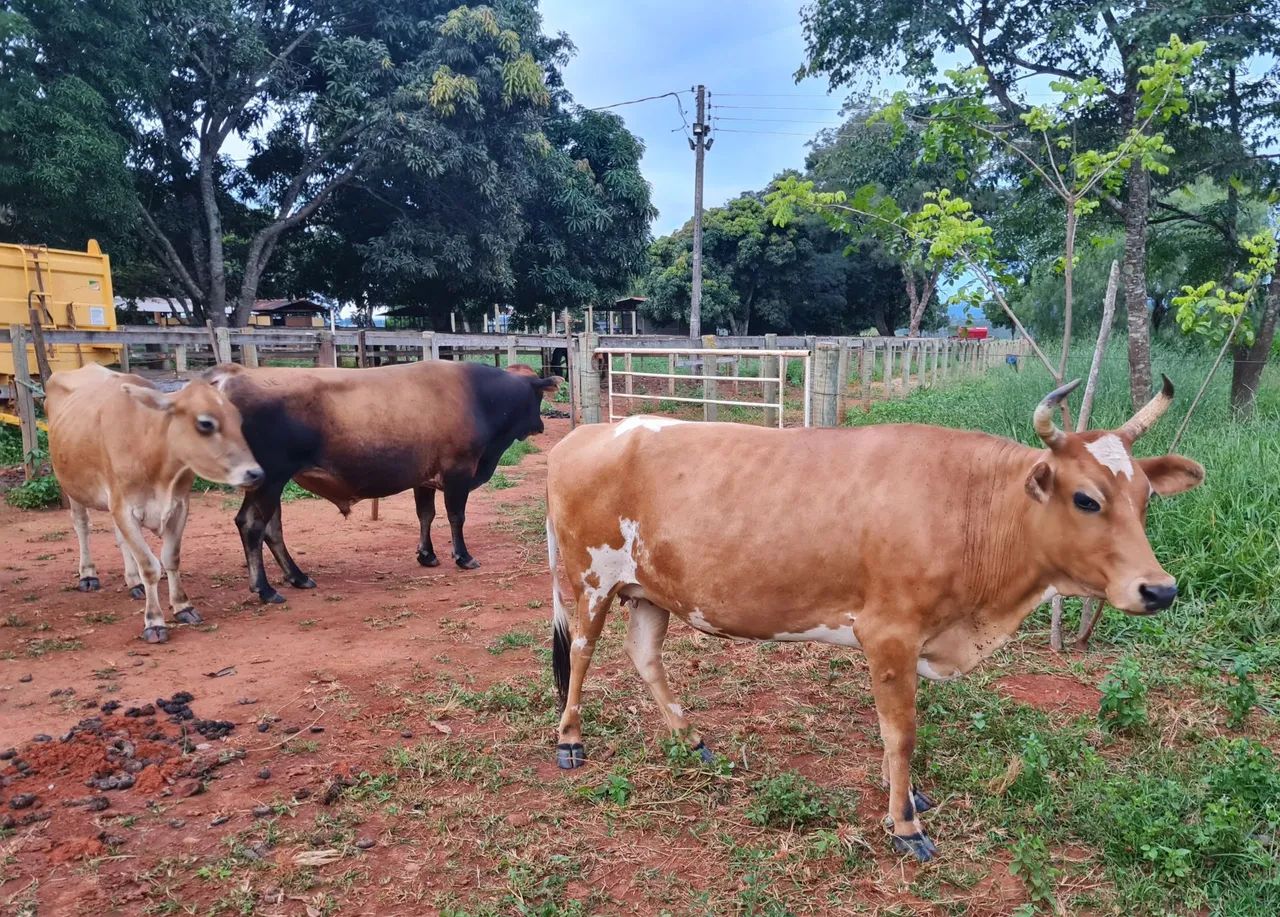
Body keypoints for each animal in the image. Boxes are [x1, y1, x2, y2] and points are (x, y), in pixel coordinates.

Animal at [45, 364, 264, 643]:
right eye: (205, 423)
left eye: (238, 420)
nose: (255, 473)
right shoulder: (124, 508)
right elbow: (149, 566)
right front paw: (154, 621)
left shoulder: (178, 506)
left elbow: (171, 557)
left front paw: (183, 606)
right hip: (71, 485)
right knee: (82, 525)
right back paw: (88, 574)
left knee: (120, 539)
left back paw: (133, 581)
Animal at [202, 360, 562, 604]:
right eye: (537, 398)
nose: (541, 425)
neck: (480, 397)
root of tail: (234, 373)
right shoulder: (458, 472)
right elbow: (456, 517)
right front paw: (463, 557)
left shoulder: (424, 478)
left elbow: (425, 515)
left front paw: (427, 555)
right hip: (270, 479)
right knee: (252, 525)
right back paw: (266, 589)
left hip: (271, 482)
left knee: (271, 529)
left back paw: (297, 577)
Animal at [544, 377, 1203, 861]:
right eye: (1086, 498)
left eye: (1146, 498)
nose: (1159, 589)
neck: (972, 506)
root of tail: (591, 433)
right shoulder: (888, 634)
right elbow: (901, 732)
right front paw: (904, 824)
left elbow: (901, 732)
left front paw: (907, 796)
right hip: (591, 578)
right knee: (581, 651)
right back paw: (570, 739)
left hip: (650, 590)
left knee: (644, 656)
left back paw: (691, 737)